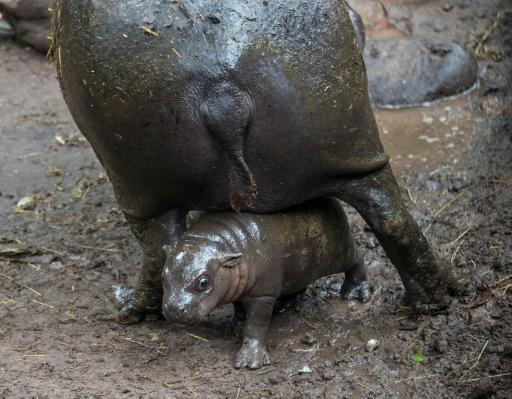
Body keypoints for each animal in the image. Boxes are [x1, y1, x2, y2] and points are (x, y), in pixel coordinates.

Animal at [53, 0, 452, 324]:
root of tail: (223, 95)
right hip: (351, 155)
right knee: (391, 219)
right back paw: (427, 303)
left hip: (140, 188)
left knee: (156, 251)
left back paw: (129, 309)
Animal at [162, 198, 370, 370]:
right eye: (163, 277)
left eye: (203, 282)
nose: (172, 308)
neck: (220, 243)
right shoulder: (239, 286)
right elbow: (239, 309)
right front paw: (236, 327)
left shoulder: (263, 294)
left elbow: (256, 324)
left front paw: (250, 362)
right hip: (300, 268)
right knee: (299, 284)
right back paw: (285, 306)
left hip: (339, 252)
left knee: (357, 259)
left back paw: (356, 294)